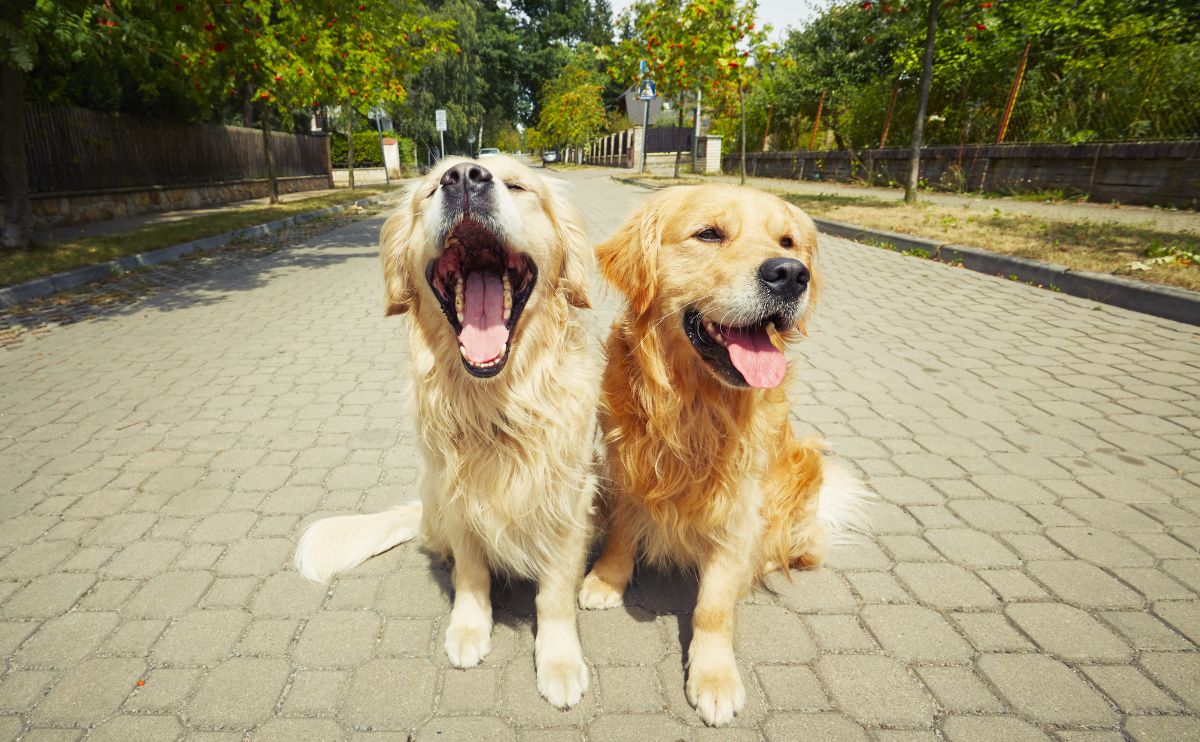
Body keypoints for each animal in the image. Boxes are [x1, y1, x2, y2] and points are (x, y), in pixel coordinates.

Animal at [297, 156, 597, 705]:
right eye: (433, 187)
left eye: (518, 185)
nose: (465, 177)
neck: (496, 404)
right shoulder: (458, 495)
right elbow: (472, 572)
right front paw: (468, 628)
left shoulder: (567, 501)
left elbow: (555, 593)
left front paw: (560, 660)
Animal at [578, 183, 868, 720]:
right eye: (709, 234)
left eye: (788, 241)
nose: (790, 274)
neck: (694, 405)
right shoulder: (626, 465)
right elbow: (623, 533)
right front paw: (606, 579)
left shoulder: (739, 505)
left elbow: (713, 604)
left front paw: (713, 676)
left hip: (802, 474)